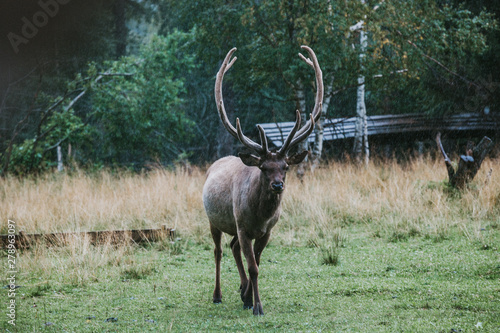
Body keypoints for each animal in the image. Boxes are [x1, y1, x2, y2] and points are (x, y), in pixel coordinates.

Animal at [203, 46, 324, 314]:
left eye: (285, 166)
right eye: (263, 167)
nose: (277, 185)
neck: (260, 216)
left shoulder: (266, 231)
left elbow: (256, 264)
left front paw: (249, 298)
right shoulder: (243, 226)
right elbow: (254, 267)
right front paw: (257, 305)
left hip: (234, 227)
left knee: (233, 247)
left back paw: (241, 290)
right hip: (214, 220)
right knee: (218, 251)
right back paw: (217, 295)